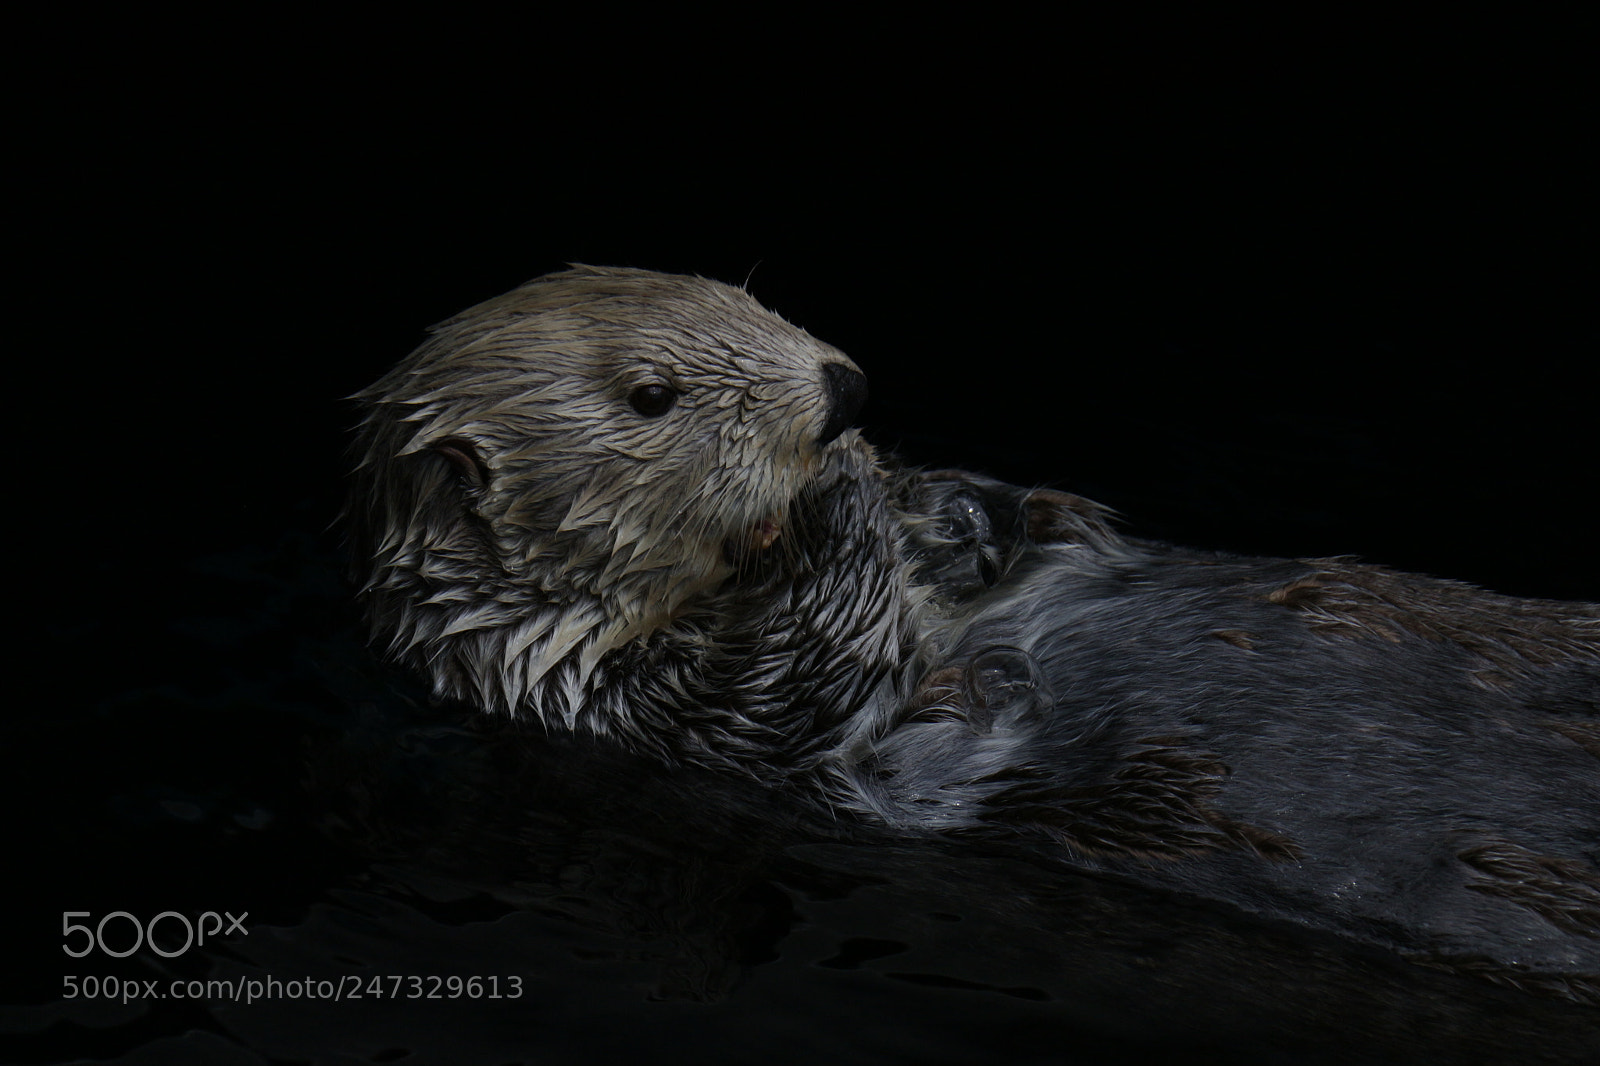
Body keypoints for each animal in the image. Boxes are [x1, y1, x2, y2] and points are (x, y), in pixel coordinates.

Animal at [348, 265, 1599, 1004]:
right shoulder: (655, 720)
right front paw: (842, 488)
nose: (842, 391)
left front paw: (944, 505)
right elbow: (797, 679)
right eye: (651, 396)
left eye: (744, 297)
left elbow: (1035, 519)